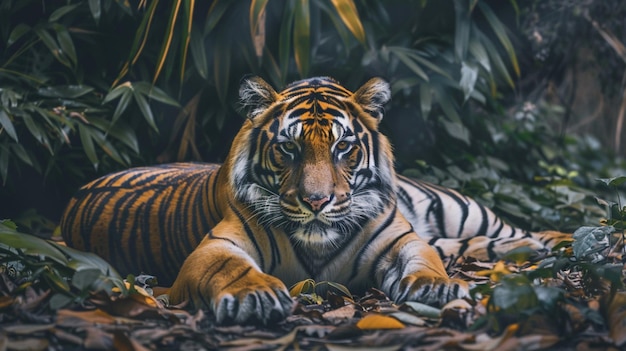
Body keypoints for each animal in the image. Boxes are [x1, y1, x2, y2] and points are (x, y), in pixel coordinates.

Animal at [61, 76, 568, 324]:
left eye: (344, 146)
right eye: (288, 148)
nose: (317, 201)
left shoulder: (401, 241)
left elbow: (424, 259)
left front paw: (437, 288)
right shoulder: (215, 246)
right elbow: (230, 268)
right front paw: (254, 296)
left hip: (456, 207)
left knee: (511, 230)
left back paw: (558, 240)